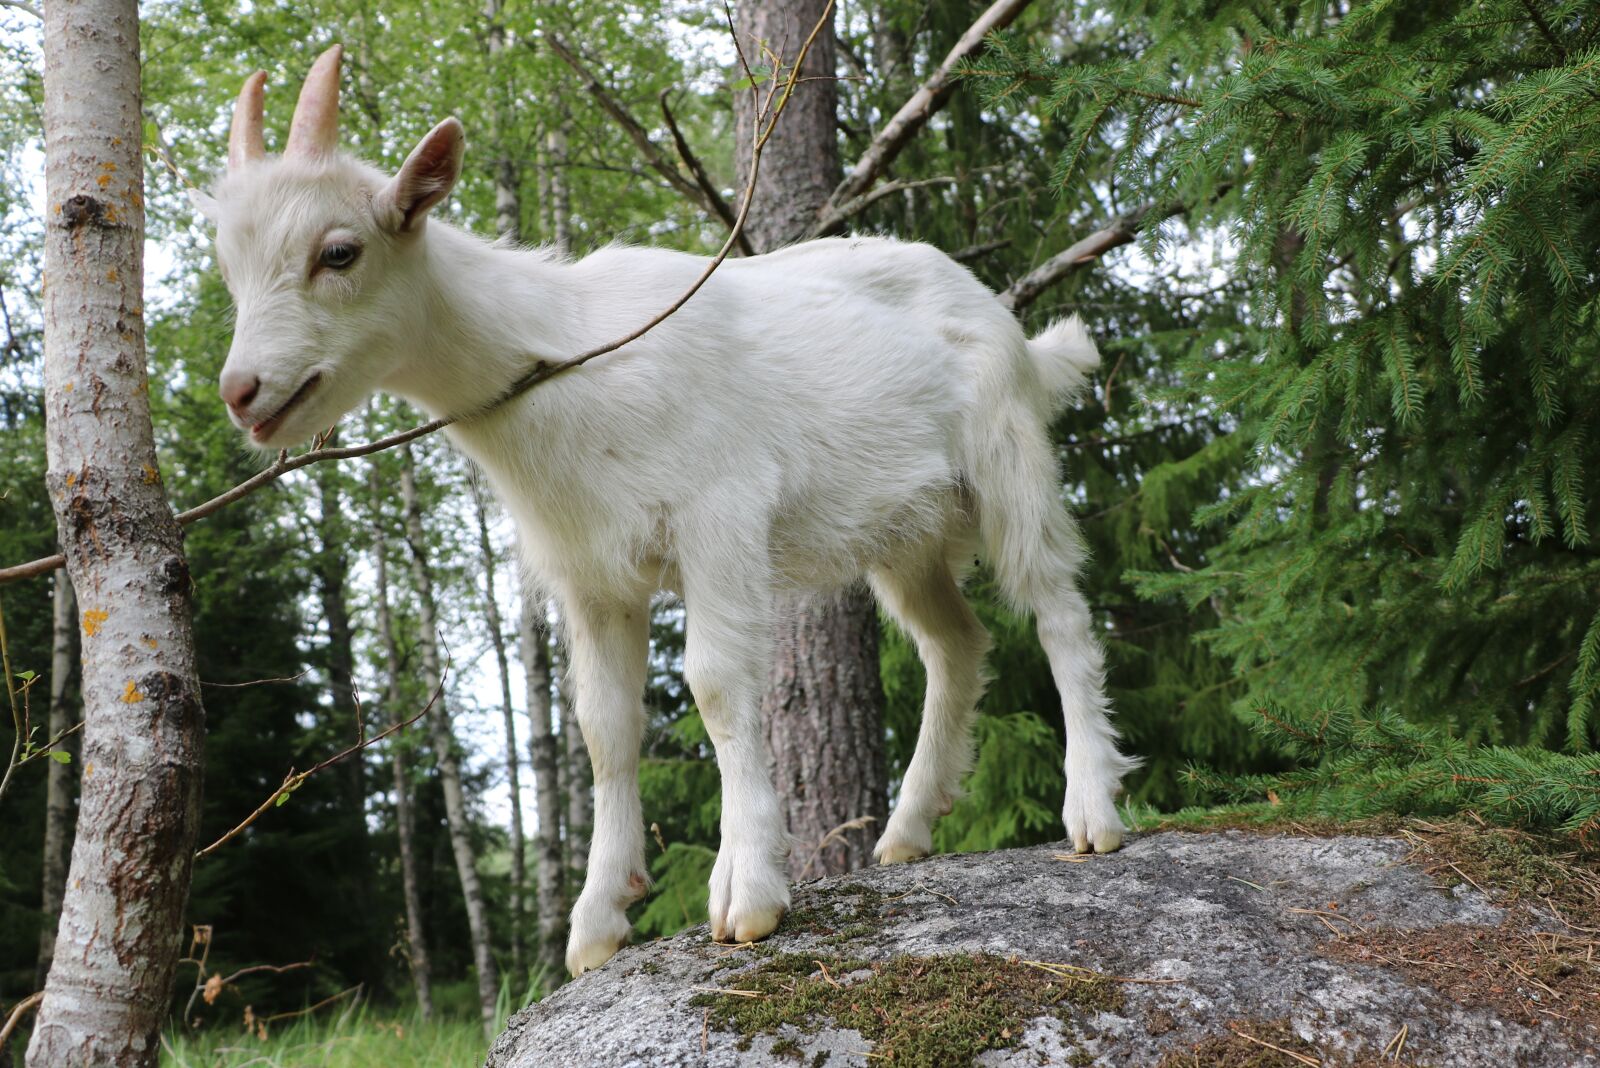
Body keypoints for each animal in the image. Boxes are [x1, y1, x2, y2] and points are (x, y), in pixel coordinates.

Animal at [195, 46, 1138, 976]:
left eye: (339, 252)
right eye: (229, 269)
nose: (242, 393)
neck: (569, 356)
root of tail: (1015, 332)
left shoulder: (719, 518)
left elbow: (717, 687)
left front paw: (747, 893)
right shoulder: (591, 574)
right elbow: (606, 728)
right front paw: (598, 920)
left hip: (1007, 461)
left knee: (1058, 611)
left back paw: (1092, 811)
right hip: (901, 531)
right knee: (956, 642)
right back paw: (907, 831)